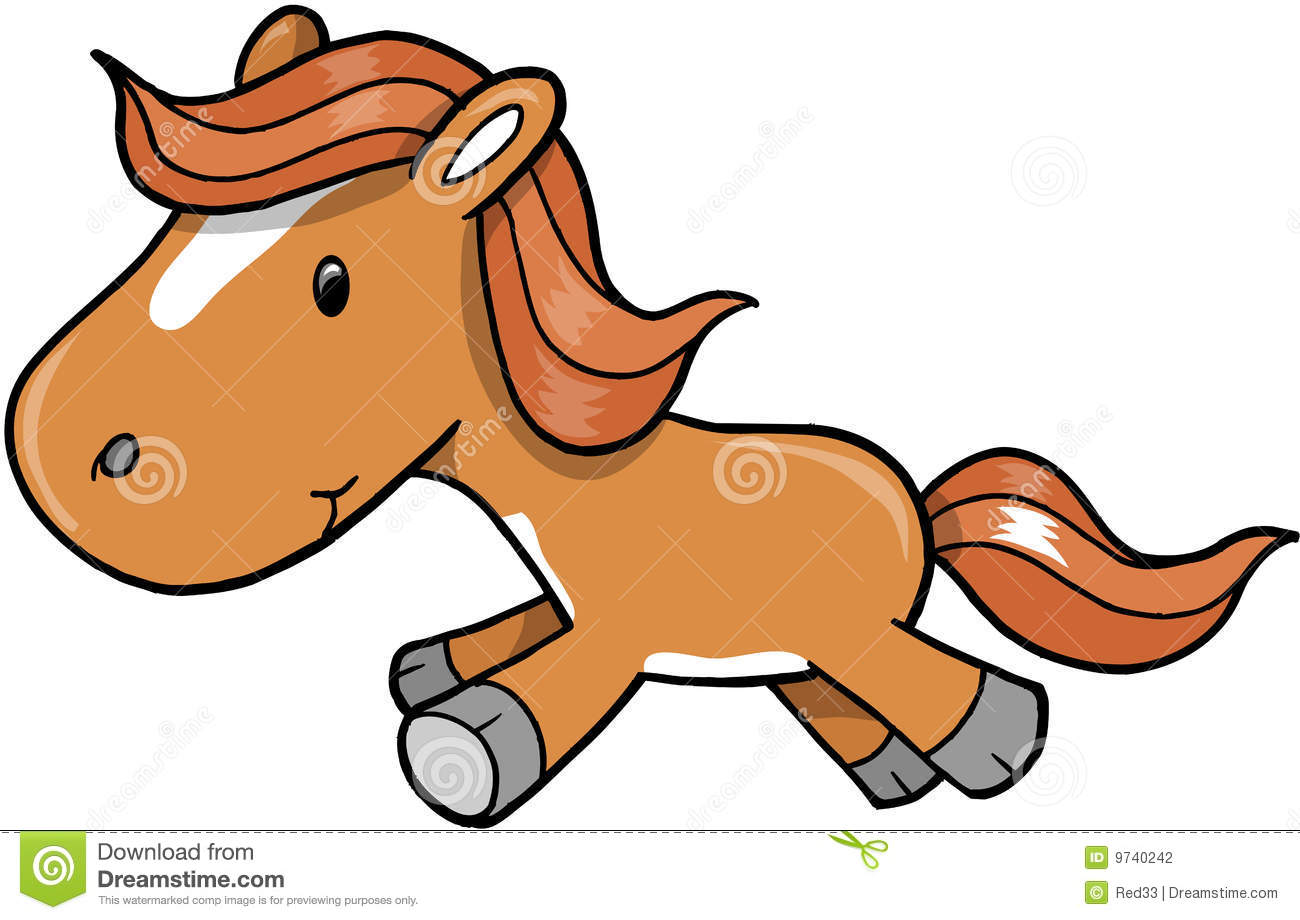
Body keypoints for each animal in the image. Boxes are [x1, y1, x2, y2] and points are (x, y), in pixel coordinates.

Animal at [7, 7, 1294, 827]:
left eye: (332, 282)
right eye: (171, 231)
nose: (82, 461)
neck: (574, 473)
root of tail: (915, 503)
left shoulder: (622, 628)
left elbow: (515, 717)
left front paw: (462, 741)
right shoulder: (580, 602)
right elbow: (498, 639)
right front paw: (431, 664)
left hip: (846, 622)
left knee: (940, 680)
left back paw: (985, 743)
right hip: (799, 649)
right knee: (837, 693)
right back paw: (891, 774)